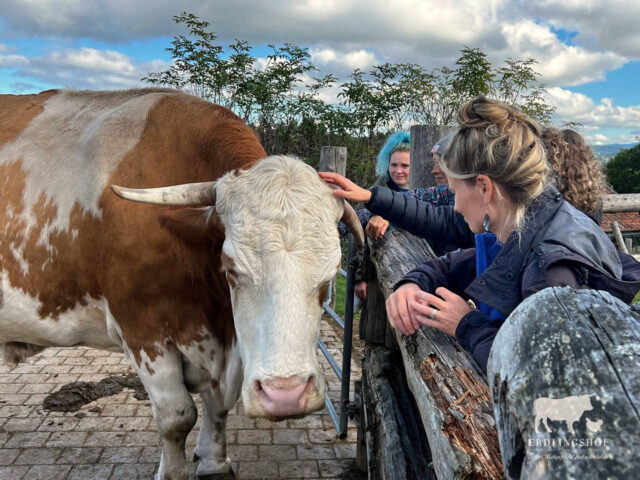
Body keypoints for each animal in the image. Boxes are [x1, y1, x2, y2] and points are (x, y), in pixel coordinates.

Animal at [0, 88, 362, 478]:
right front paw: (173, 470)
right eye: (231, 269)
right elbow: (177, 417)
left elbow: (217, 404)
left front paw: (213, 461)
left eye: (329, 276)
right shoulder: (143, 332)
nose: (285, 394)